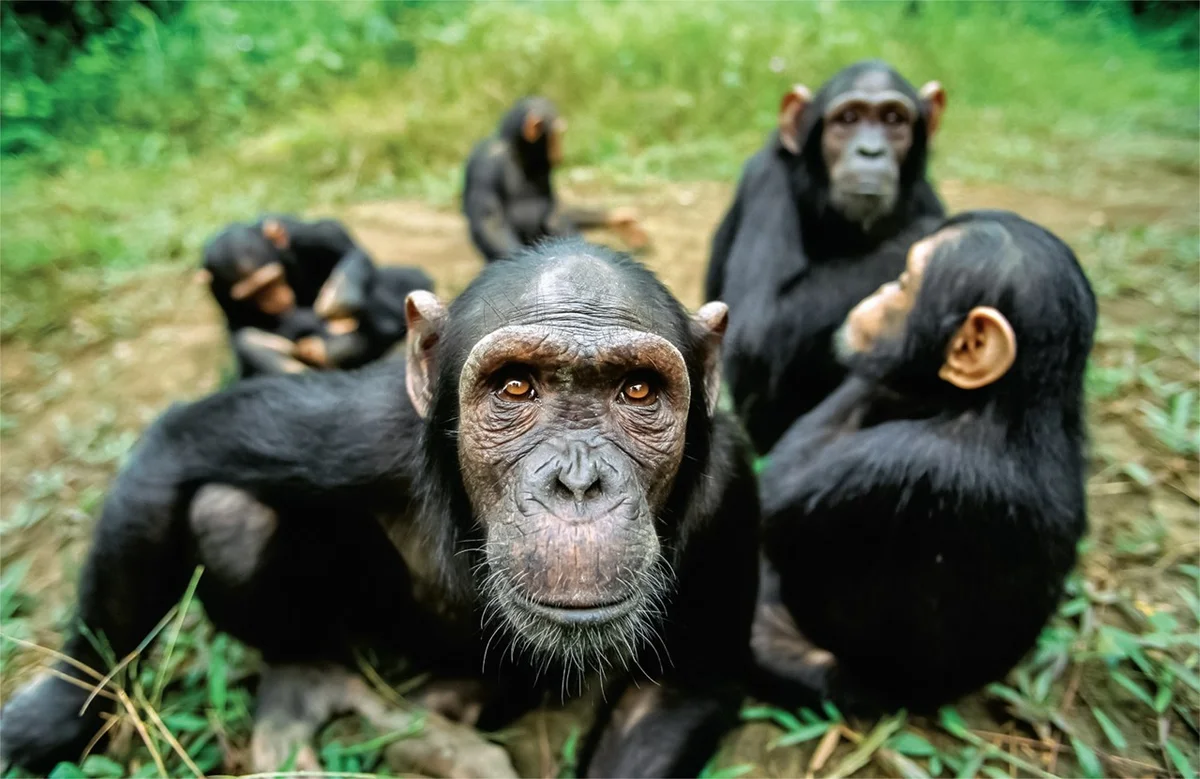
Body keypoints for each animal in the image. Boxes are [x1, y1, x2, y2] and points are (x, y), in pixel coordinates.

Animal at [2, 240, 758, 772]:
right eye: (516, 387)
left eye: (637, 390)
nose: (578, 482)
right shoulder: (361, 428)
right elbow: (184, 445)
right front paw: (56, 713)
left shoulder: (729, 483)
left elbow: (677, 690)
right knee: (227, 513)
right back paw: (304, 677)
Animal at [200, 213, 432, 374]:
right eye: (252, 294)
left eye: (272, 280)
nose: (274, 298)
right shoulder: (217, 290)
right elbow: (239, 328)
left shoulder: (300, 234)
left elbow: (342, 244)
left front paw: (337, 299)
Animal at [458, 96, 652, 261]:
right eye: (558, 133)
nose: (561, 149)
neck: (517, 152)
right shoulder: (486, 164)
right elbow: (490, 223)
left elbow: (556, 210)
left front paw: (621, 220)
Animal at [700, 60, 945, 453]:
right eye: (848, 118)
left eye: (893, 119)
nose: (870, 151)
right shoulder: (769, 183)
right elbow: (759, 324)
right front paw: (933, 232)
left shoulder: (925, 193)